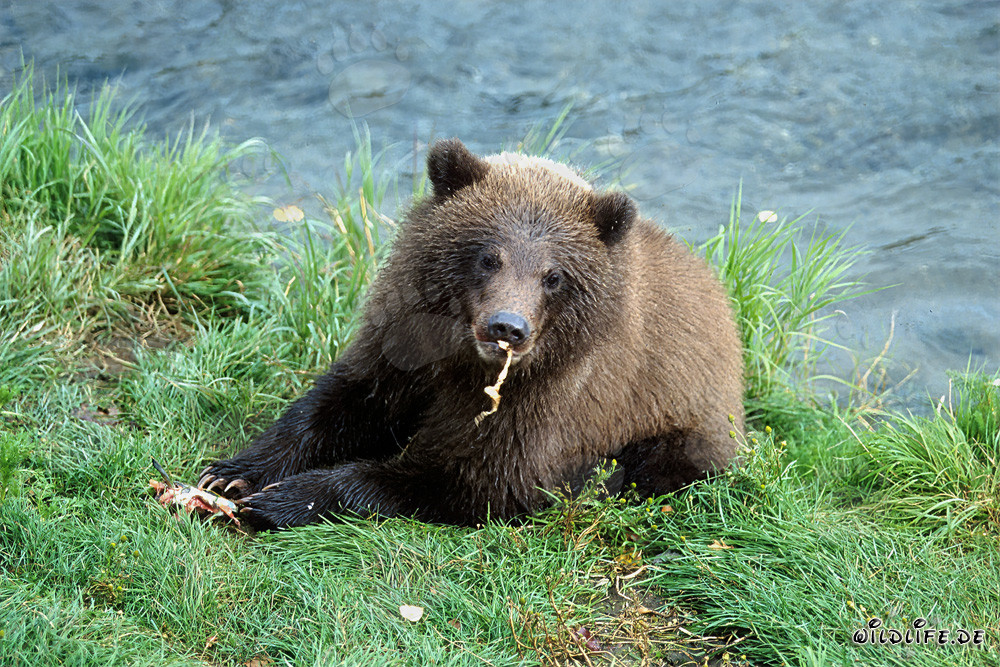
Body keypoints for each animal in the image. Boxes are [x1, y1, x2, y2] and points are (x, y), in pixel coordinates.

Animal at [197, 139, 745, 530]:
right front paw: (232, 473)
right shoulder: (406, 344)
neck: (465, 362)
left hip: (681, 431)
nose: (507, 327)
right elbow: (345, 400)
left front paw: (287, 499)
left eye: (553, 275)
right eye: (488, 256)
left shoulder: (551, 404)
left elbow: (471, 480)